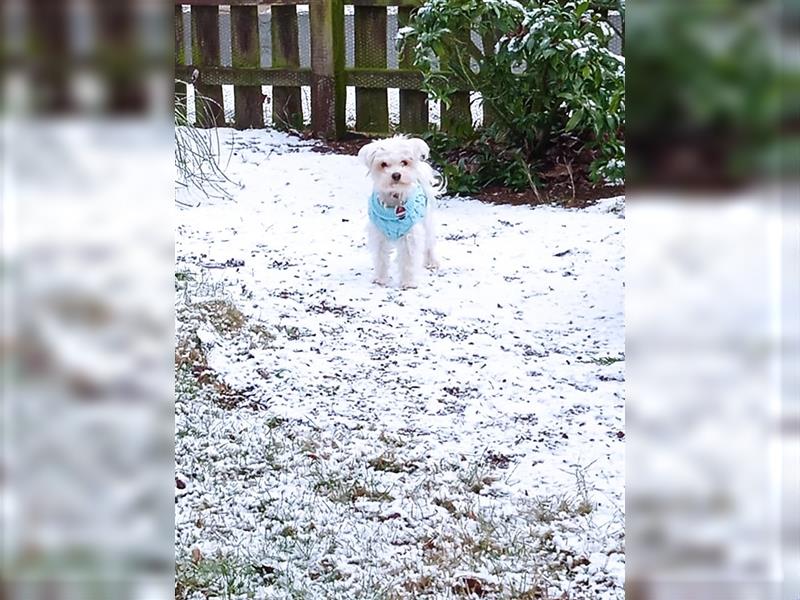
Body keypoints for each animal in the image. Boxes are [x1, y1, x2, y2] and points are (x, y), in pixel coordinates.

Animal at [358, 136, 444, 288]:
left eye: (404, 162)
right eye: (383, 164)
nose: (396, 175)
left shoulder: (410, 235)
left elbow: (408, 260)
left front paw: (408, 282)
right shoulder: (378, 234)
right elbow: (381, 258)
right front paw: (380, 278)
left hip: (427, 222)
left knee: (429, 243)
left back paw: (432, 262)